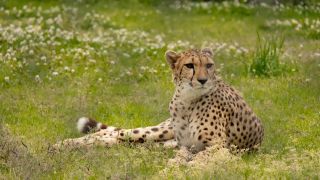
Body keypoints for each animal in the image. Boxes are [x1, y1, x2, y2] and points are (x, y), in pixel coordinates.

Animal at [54, 48, 262, 153]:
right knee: (116, 134)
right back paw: (63, 144)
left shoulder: (216, 145)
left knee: (121, 138)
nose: (203, 80)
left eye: (209, 65)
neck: (186, 100)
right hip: (161, 130)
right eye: (190, 66)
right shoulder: (187, 143)